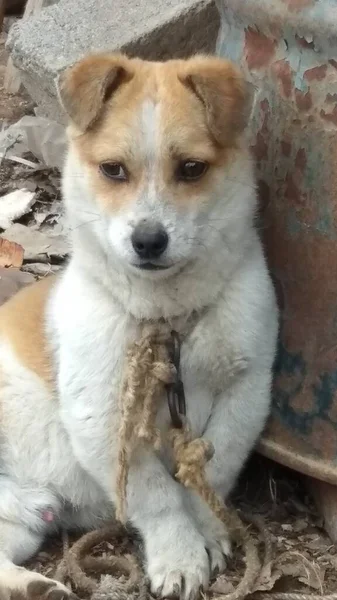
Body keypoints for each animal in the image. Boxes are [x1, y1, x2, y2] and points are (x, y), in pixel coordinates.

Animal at [0, 54, 276, 596]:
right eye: (113, 170)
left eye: (191, 168)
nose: (149, 241)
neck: (167, 318)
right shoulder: (104, 418)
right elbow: (159, 497)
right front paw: (179, 555)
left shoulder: (247, 390)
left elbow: (213, 471)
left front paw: (208, 532)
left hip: (20, 525)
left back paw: (35, 583)